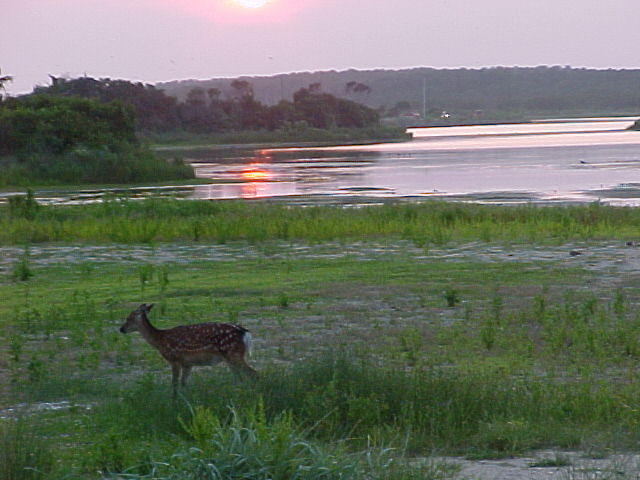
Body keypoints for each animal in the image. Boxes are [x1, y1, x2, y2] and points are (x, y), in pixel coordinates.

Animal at [119, 304, 257, 397]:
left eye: (129, 318)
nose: (121, 329)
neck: (160, 340)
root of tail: (245, 333)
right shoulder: (188, 364)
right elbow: (184, 384)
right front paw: (186, 400)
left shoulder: (174, 359)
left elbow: (174, 384)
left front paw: (174, 402)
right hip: (230, 358)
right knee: (239, 378)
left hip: (233, 354)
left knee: (254, 374)